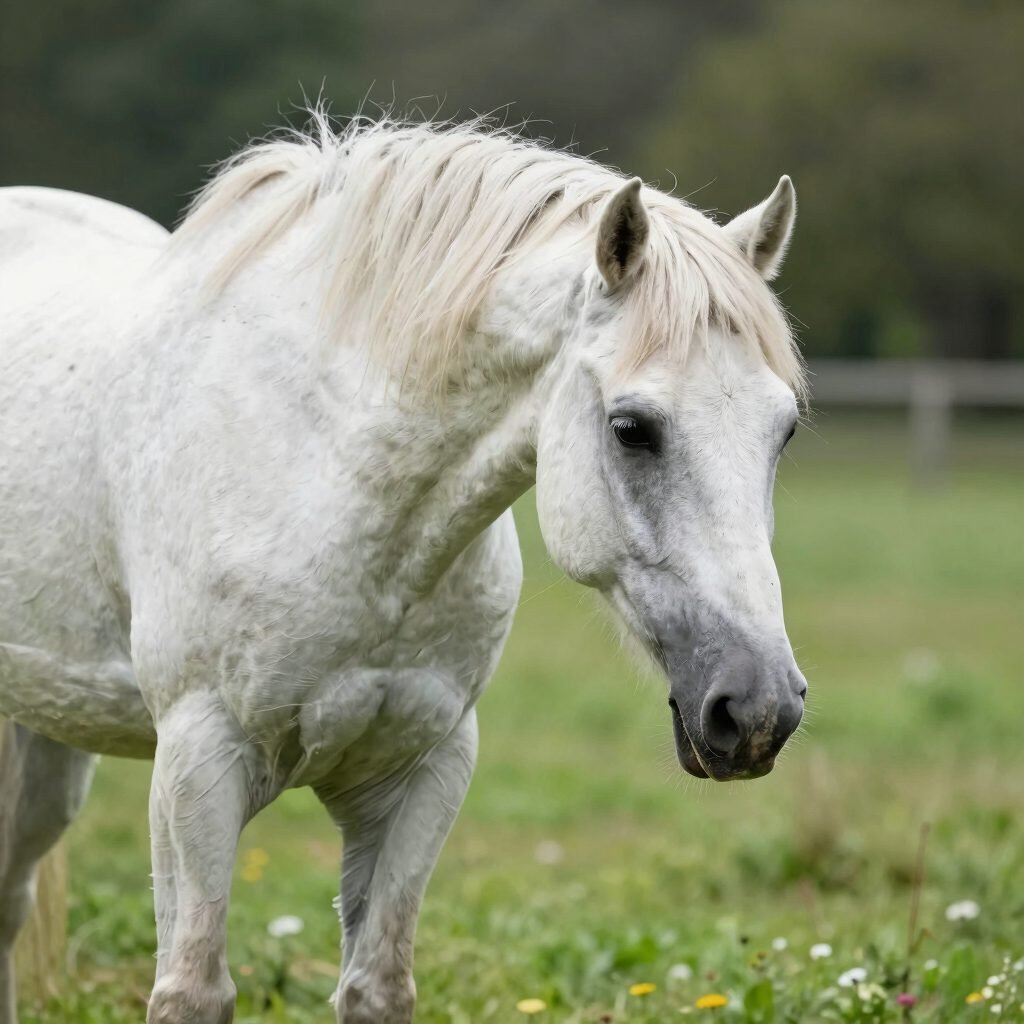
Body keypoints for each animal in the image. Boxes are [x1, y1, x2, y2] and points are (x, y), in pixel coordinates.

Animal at [0, 113, 807, 1023]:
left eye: (784, 430)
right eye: (632, 428)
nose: (758, 710)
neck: (326, 470)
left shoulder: (422, 771)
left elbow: (378, 984)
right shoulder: (198, 761)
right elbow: (192, 988)